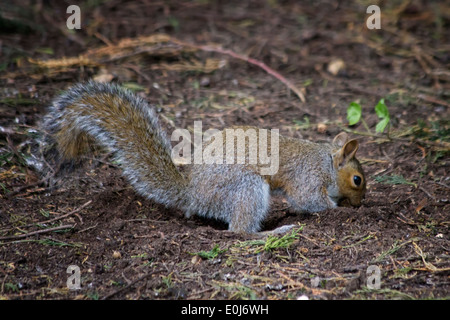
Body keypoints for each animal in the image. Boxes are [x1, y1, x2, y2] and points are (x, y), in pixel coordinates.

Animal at [40, 81, 368, 234]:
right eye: (357, 180)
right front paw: (338, 210)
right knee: (239, 232)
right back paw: (272, 232)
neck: (327, 162)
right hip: (246, 187)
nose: (362, 203)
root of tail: (192, 195)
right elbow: (308, 199)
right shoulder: (307, 177)